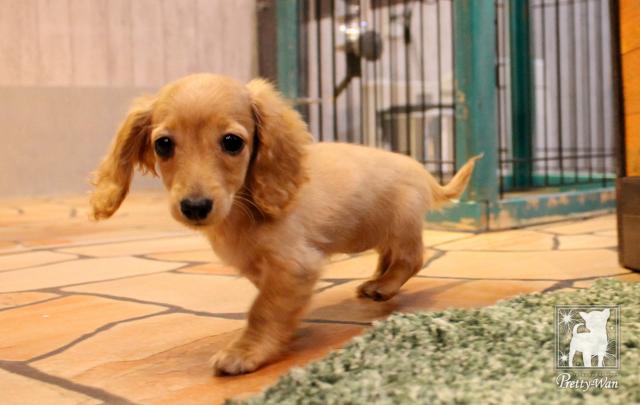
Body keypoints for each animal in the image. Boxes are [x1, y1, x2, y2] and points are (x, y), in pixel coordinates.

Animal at [90, 74, 480, 375]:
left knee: (412, 258)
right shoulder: (264, 270)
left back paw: (384, 287)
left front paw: (246, 352)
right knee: (390, 258)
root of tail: (424, 172)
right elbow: (273, 302)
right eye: (163, 145)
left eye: (232, 142)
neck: (243, 209)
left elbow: (262, 310)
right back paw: (377, 282)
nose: (195, 207)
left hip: (401, 226)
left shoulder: (295, 265)